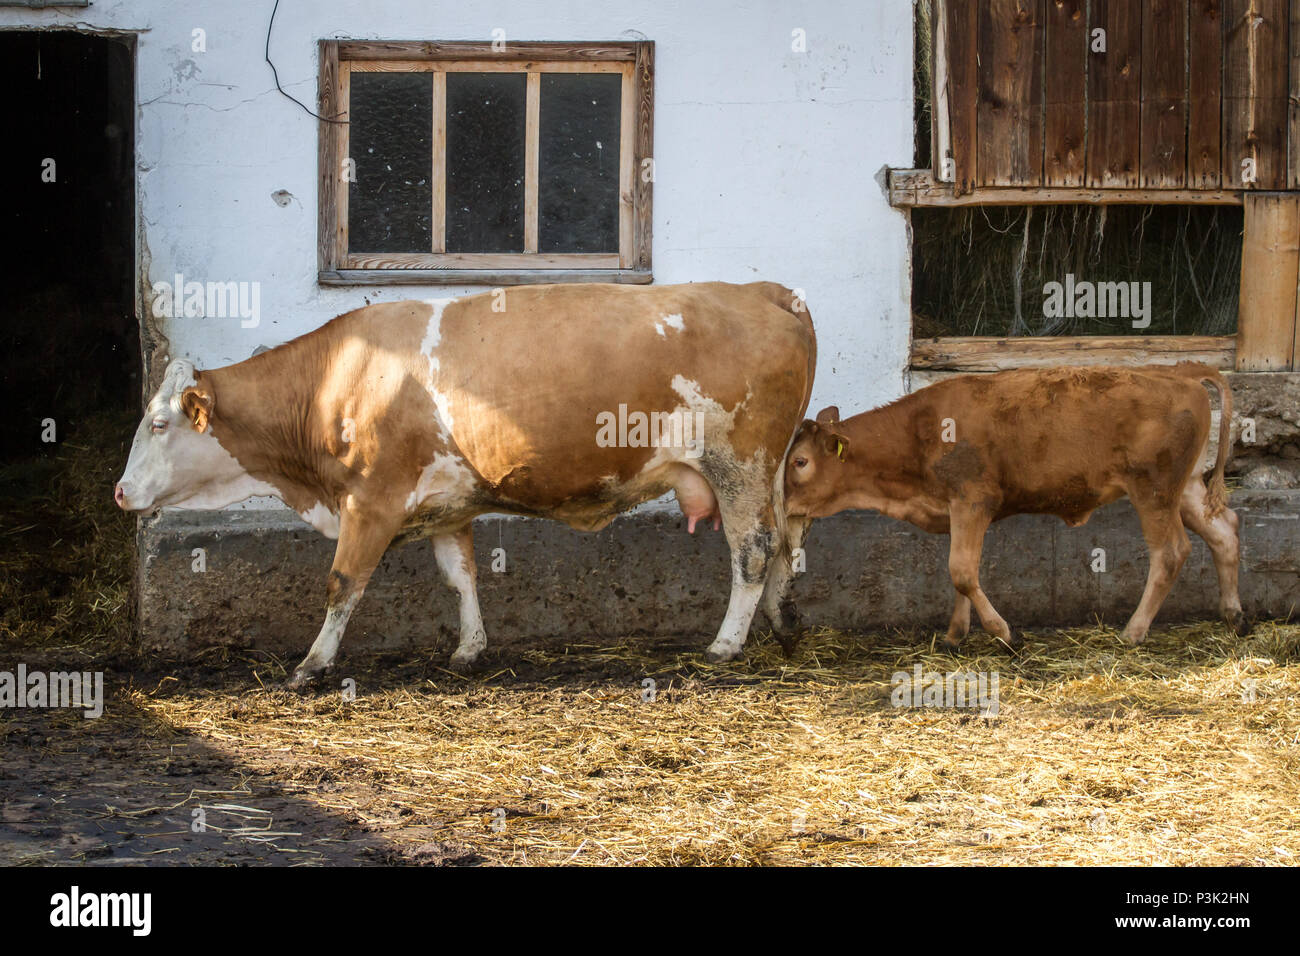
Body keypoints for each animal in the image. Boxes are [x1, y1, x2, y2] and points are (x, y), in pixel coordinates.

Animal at [115, 282, 816, 687]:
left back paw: (726, 645)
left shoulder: (370, 500)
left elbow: (343, 582)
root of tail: (762, 290)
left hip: (739, 462)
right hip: (770, 471)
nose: (121, 492)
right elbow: (461, 577)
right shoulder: (445, 507)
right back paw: (783, 626)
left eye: (158, 422)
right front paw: (469, 649)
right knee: (785, 544)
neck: (336, 379)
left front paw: (311, 665)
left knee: (753, 550)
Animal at [782, 364, 1245, 651]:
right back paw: (1234, 615)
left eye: (799, 462)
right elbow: (959, 573)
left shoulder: (973, 499)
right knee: (1224, 531)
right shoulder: (954, 509)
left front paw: (1005, 634)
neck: (918, 433)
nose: (780, 505)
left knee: (1170, 553)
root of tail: (1179, 371)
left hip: (1153, 489)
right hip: (1185, 487)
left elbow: (962, 571)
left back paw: (1133, 631)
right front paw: (955, 635)